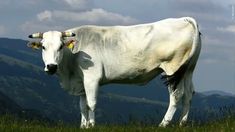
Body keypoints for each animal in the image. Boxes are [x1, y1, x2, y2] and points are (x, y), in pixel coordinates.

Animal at [27, 16, 200, 128]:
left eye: (61, 46)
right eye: (43, 47)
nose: (51, 66)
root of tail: (183, 19)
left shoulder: (92, 78)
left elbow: (91, 103)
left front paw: (91, 125)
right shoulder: (80, 81)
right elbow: (82, 106)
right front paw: (83, 126)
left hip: (173, 69)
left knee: (176, 95)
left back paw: (163, 124)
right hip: (188, 70)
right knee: (188, 94)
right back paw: (182, 123)